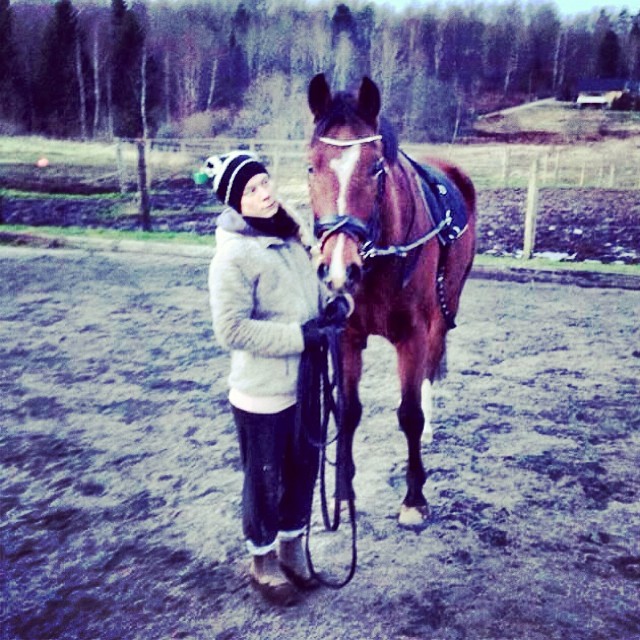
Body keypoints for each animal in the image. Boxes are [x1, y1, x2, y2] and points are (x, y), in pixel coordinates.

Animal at [306, 73, 477, 526]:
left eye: (375, 167)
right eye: (311, 166)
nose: (338, 269)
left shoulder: (412, 335)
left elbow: (409, 414)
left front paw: (414, 499)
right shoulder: (346, 338)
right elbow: (348, 412)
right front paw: (343, 493)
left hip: (444, 310)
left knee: (430, 370)